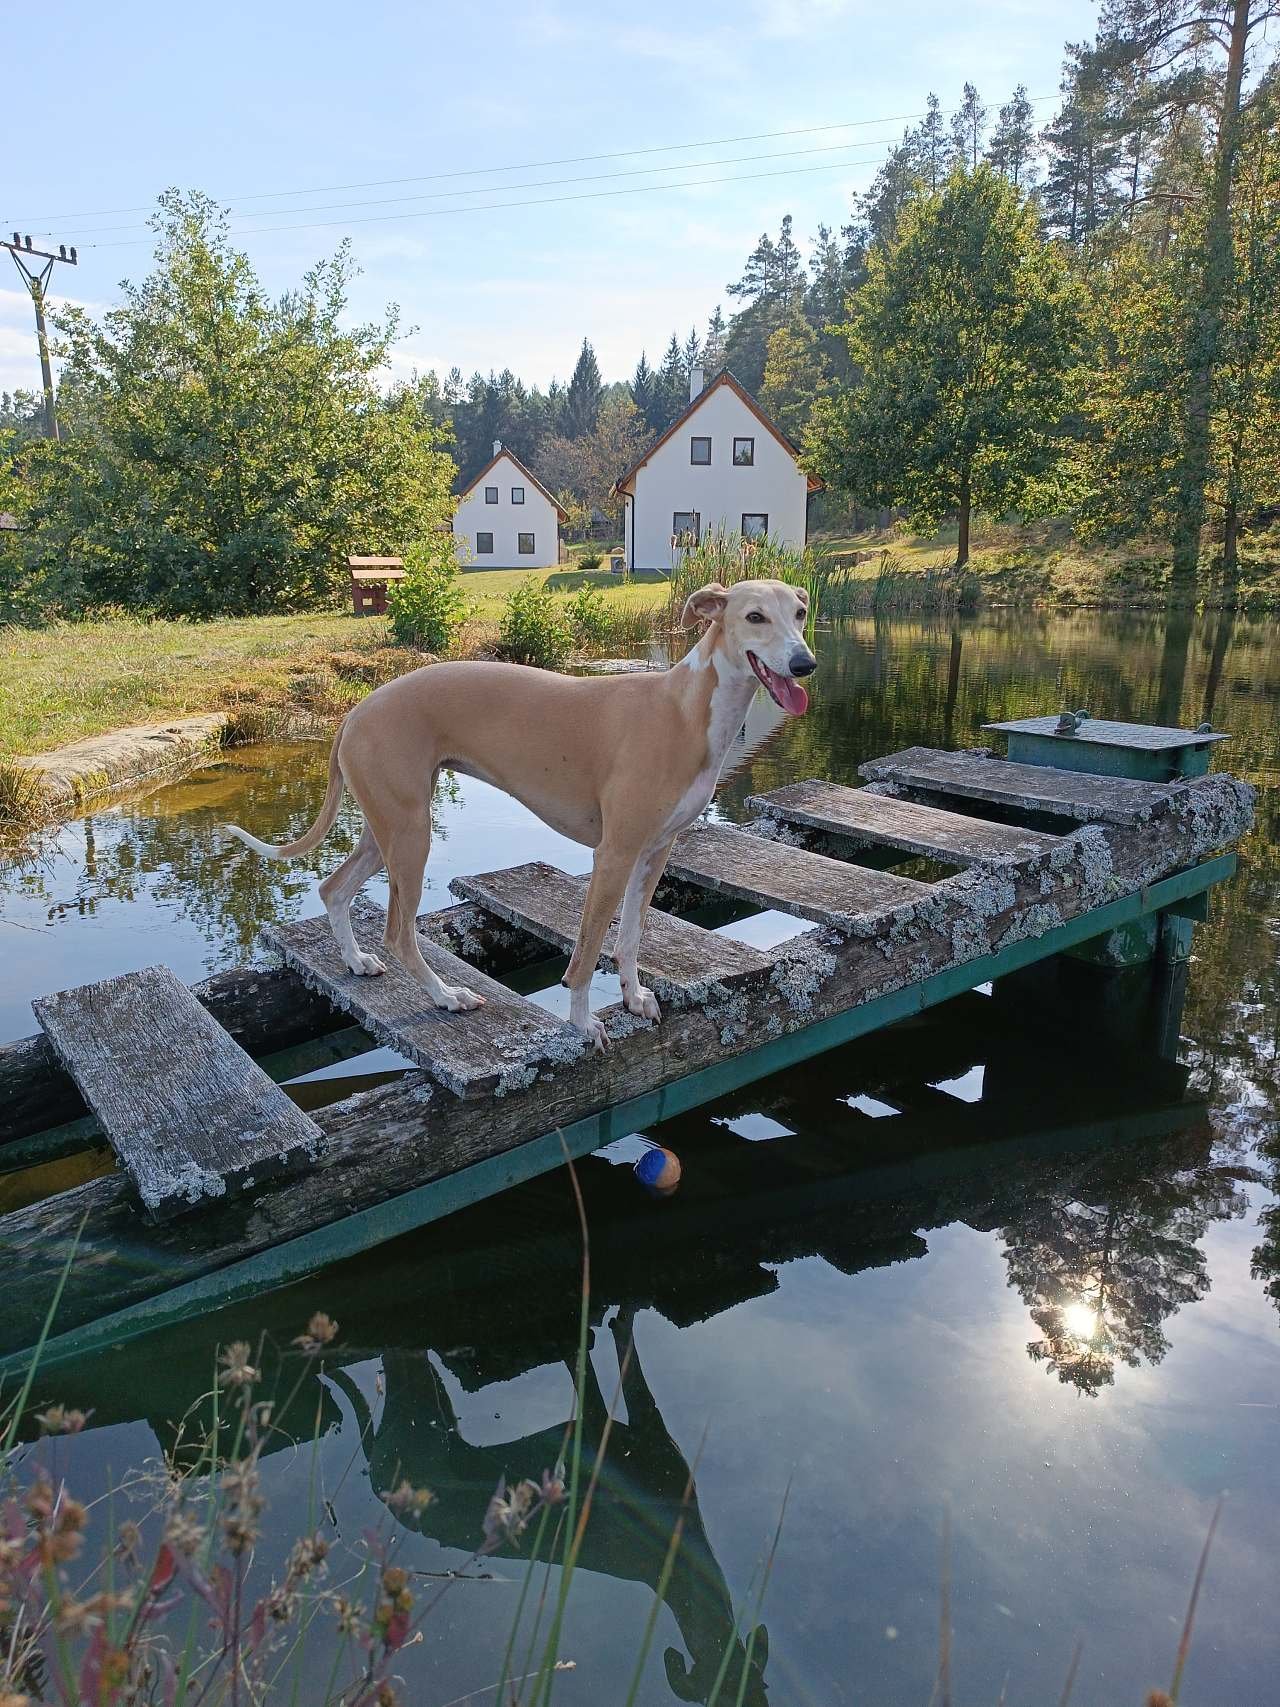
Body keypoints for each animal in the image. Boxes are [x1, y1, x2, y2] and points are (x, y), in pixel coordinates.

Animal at [225, 580, 815, 1044]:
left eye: (801, 613)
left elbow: (630, 936)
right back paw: (448, 996)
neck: (684, 709)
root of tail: (354, 712)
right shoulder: (614, 853)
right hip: (411, 834)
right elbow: (589, 949)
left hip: (386, 827)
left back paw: (355, 961)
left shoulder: (654, 851)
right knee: (397, 934)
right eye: (754, 616)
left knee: (333, 888)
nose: (804, 663)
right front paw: (582, 1022)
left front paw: (635, 996)